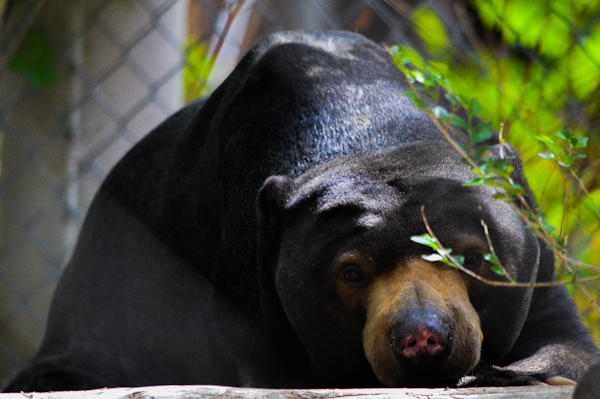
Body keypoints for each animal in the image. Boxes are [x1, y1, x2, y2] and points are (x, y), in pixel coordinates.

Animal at [4, 32, 600, 394]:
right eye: (351, 273)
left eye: (472, 258)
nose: (422, 337)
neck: (368, 126)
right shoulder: (245, 287)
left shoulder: (540, 263)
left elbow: (565, 340)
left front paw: (500, 371)